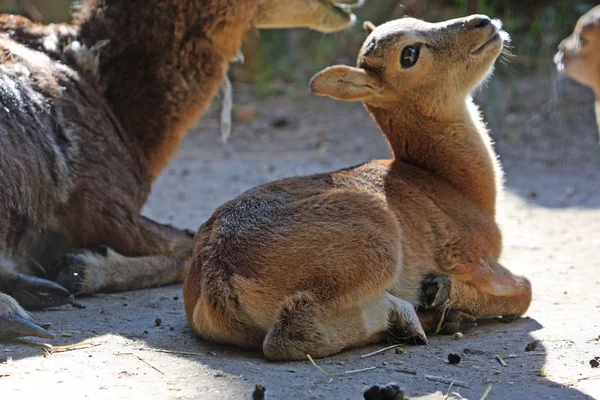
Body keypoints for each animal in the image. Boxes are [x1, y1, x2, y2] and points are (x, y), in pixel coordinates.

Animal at [185, 14, 532, 360]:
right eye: (409, 54)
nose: (483, 22)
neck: (459, 187)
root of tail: (217, 280)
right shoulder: (469, 255)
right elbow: (525, 290)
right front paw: (441, 293)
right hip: (376, 241)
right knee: (290, 332)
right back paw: (409, 318)